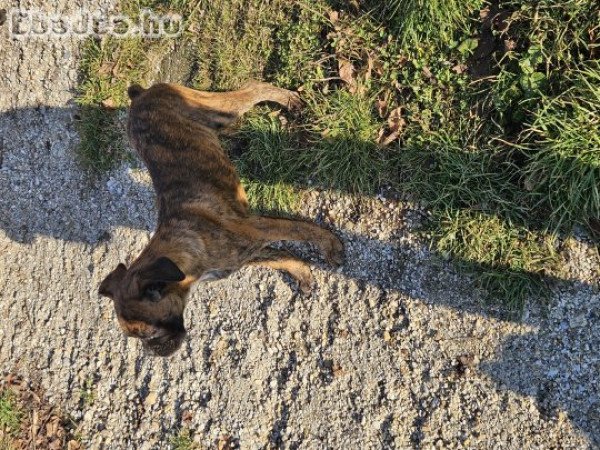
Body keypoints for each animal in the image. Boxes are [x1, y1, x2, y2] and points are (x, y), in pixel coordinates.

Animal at [98, 80, 342, 356]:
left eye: (148, 333)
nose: (152, 354)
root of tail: (140, 95)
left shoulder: (258, 228)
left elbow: (300, 229)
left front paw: (330, 245)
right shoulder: (248, 254)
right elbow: (283, 258)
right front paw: (302, 273)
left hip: (221, 109)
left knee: (254, 88)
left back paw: (287, 99)